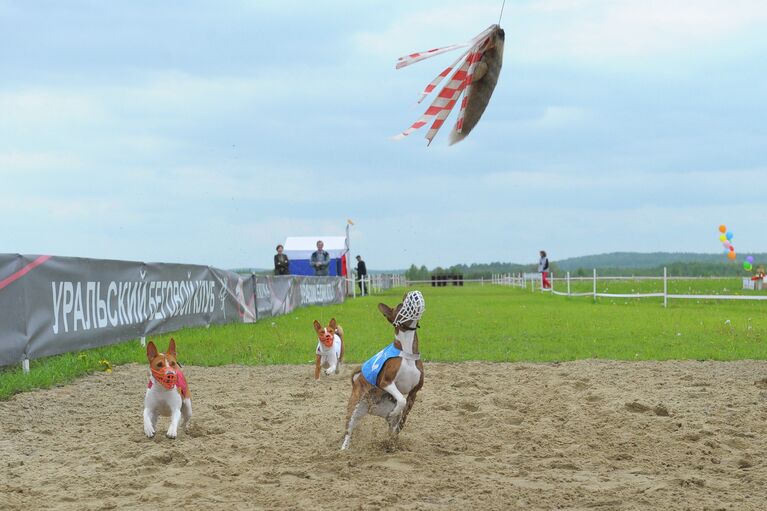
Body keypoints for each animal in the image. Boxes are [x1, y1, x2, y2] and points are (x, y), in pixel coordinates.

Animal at [342, 292, 426, 452]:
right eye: (401, 305)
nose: (410, 293)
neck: (407, 352)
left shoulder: (414, 393)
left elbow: (403, 418)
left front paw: (395, 438)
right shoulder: (386, 382)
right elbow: (401, 400)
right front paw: (396, 412)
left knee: (391, 426)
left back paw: (390, 443)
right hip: (354, 409)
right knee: (348, 431)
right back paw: (343, 450)